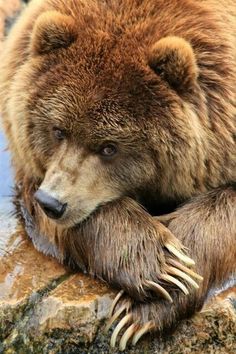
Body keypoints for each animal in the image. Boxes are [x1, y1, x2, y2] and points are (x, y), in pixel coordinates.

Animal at [0, 0, 235, 350]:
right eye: (58, 130)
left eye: (109, 147)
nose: (53, 203)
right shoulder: (32, 168)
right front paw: (160, 268)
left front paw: (150, 303)